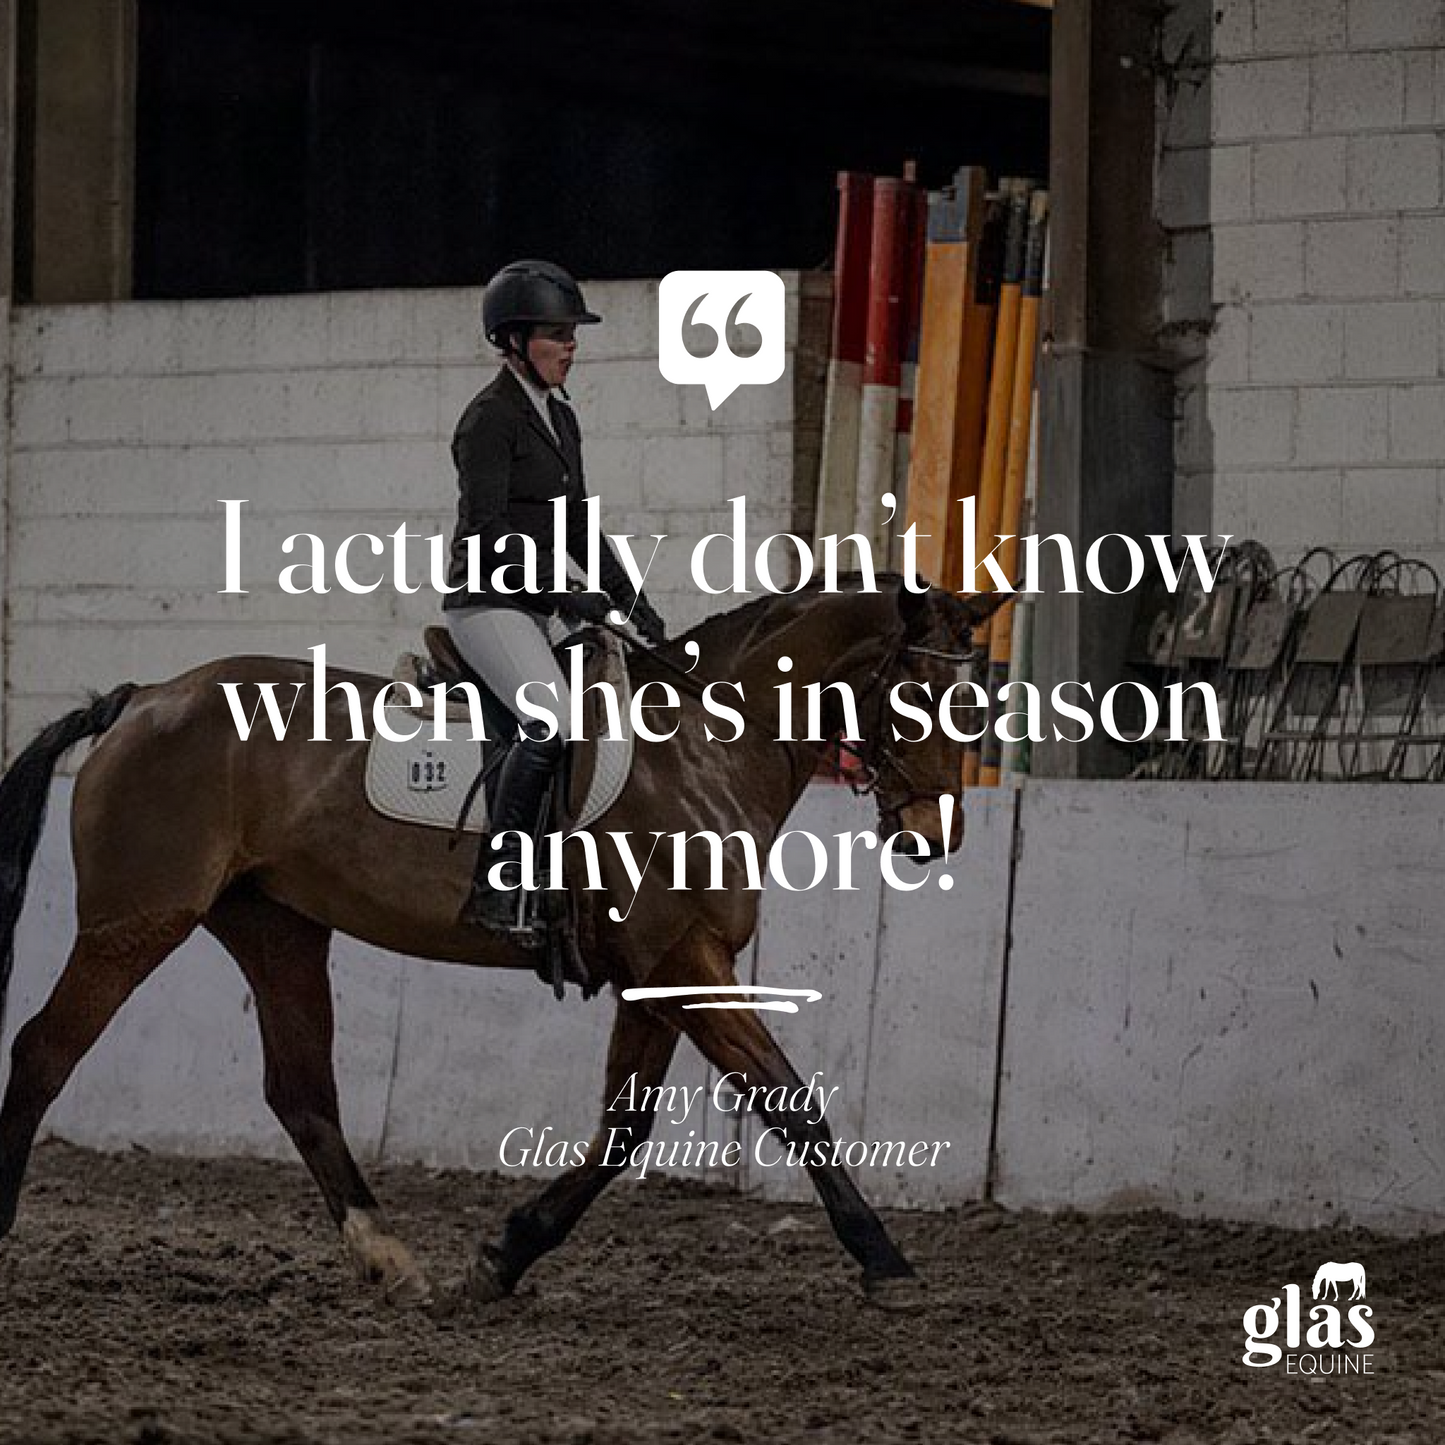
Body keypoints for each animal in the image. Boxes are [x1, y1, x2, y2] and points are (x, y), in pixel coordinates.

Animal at [0, 578, 1003, 1311]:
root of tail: (144, 699)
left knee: (301, 1091)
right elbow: (791, 1105)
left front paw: (507, 1253)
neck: (705, 746)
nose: (936, 834)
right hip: (138, 919)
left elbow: (622, 1129)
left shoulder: (659, 975)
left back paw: (391, 1259)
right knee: (45, 1049)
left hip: (275, 927)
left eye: (978, 701)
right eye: (916, 692)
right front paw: (884, 1261)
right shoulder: (683, 963)